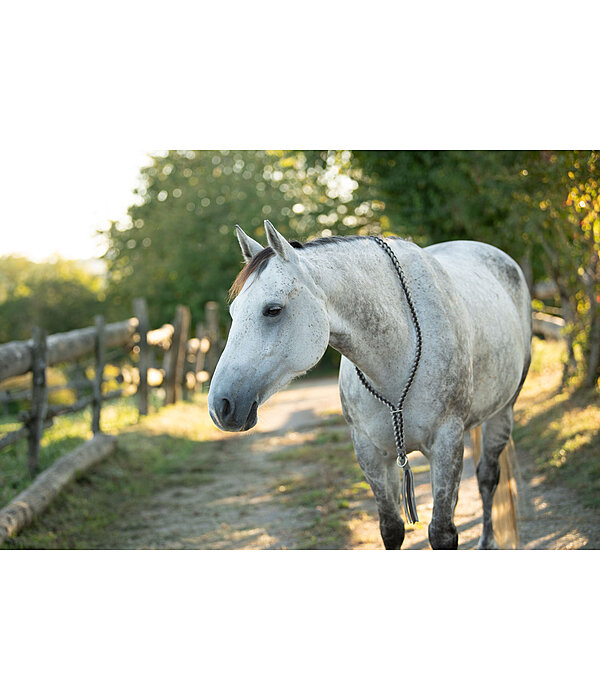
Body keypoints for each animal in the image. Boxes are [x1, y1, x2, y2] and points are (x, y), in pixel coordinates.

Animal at [206, 221, 528, 548]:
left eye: (273, 310)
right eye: (233, 313)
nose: (221, 406)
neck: (395, 354)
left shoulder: (446, 443)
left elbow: (442, 533)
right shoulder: (370, 451)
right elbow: (391, 528)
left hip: (503, 412)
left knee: (487, 477)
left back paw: (487, 540)